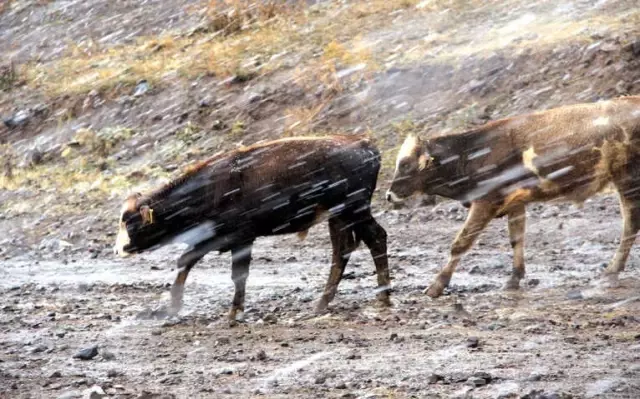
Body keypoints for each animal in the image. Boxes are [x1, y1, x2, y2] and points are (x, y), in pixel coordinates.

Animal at [116, 134, 390, 324]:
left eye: (128, 221)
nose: (117, 249)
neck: (209, 189)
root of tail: (364, 144)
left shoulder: (238, 237)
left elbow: (232, 273)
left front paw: (232, 312)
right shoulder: (224, 239)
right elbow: (189, 261)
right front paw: (172, 307)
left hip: (355, 210)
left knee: (376, 238)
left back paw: (383, 297)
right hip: (340, 217)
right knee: (342, 250)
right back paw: (322, 303)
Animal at [384, 96, 640, 296]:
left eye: (405, 164)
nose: (388, 195)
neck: (470, 155)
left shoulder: (485, 201)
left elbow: (460, 243)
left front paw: (436, 286)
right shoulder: (515, 202)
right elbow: (516, 239)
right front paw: (514, 278)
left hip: (628, 179)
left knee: (630, 225)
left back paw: (612, 269)